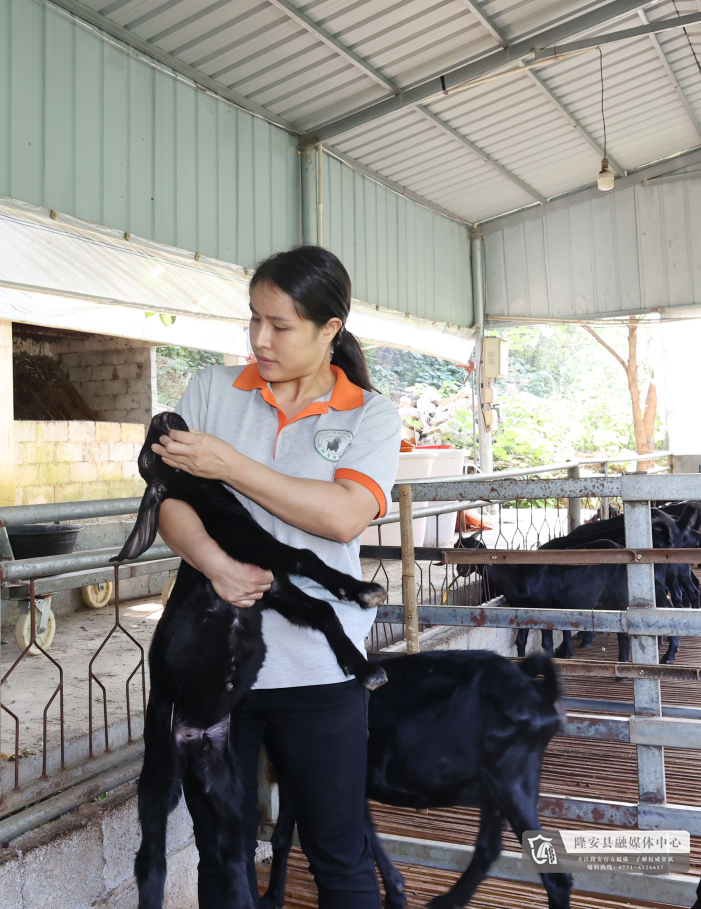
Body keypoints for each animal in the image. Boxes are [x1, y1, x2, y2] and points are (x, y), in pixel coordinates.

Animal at [260, 648, 572, 908]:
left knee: (554, 876)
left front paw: (272, 897)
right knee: (489, 847)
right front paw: (396, 892)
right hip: (498, 786)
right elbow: (367, 832)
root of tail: (536, 690)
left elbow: (282, 837)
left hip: (510, 780)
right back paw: (448, 900)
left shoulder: (292, 772)